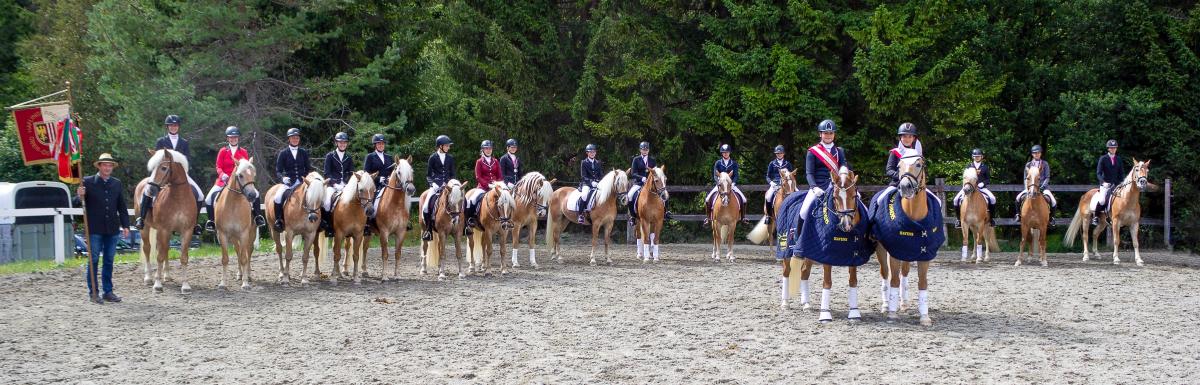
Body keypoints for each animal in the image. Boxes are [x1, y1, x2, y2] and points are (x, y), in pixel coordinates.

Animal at [135, 148, 198, 292]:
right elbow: (159, 256)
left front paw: (185, 285)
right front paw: (157, 284)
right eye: (152, 168)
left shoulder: (187, 231)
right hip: (146, 228)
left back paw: (167, 275)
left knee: (165, 248)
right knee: (148, 249)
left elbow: (183, 257)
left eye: (164, 168)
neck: (179, 198)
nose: (150, 190)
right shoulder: (163, 229)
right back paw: (149, 278)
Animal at [214, 157, 264, 287]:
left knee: (248, 252)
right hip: (233, 237)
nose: (252, 195)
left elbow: (244, 258)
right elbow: (225, 259)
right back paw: (240, 274)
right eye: (240, 175)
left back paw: (248, 275)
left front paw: (245, 283)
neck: (233, 205)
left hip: (250, 234)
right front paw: (223, 283)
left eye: (253, 174)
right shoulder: (222, 234)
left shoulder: (244, 233)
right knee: (238, 251)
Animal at [873, 153, 945, 323]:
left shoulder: (924, 253)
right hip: (881, 250)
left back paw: (904, 303)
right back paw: (886, 305)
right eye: (899, 166)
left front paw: (924, 316)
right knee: (885, 274)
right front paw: (892, 313)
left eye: (918, 164)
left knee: (904, 273)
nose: (905, 186)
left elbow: (922, 282)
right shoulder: (894, 252)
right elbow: (893, 280)